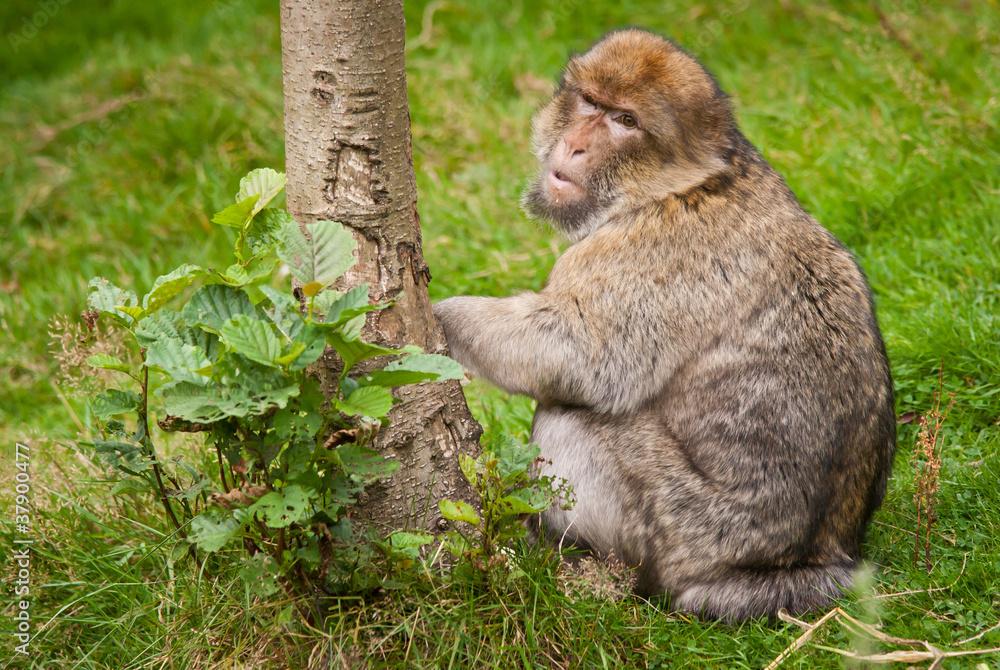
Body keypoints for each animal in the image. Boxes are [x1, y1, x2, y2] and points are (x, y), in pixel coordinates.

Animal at [432, 29, 895, 622]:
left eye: (625, 121)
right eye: (590, 102)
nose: (574, 146)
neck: (684, 184)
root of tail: (807, 561)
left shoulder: (647, 251)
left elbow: (579, 354)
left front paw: (435, 318)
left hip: (679, 528)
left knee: (571, 418)